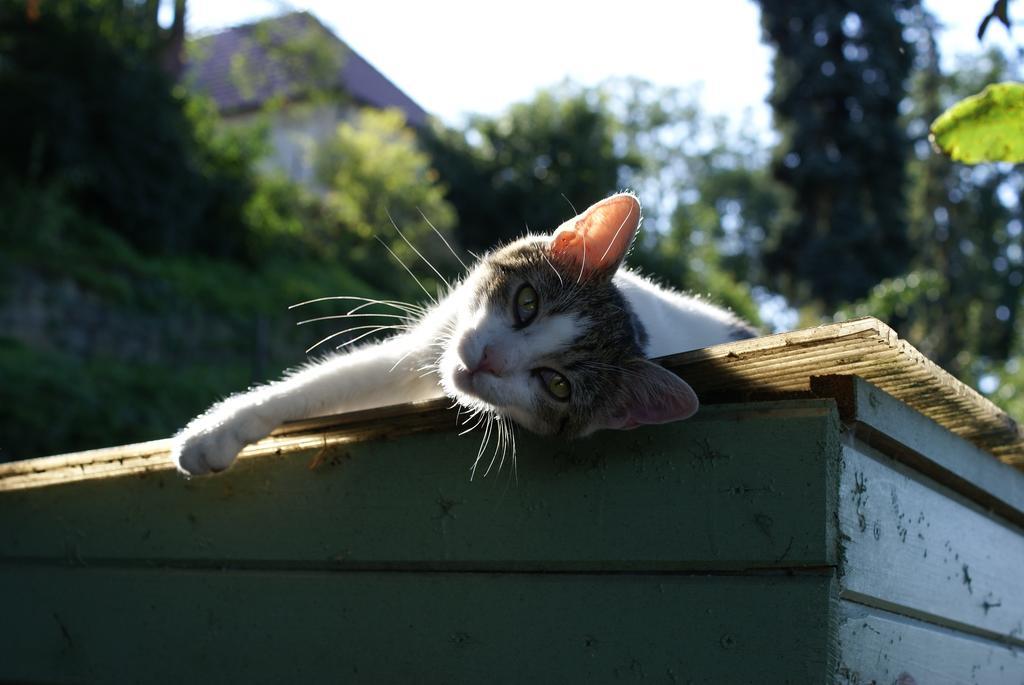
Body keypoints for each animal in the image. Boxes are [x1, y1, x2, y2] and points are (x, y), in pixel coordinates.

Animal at [172, 192, 757, 475]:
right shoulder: (439, 337)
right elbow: (330, 383)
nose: (488, 360)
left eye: (556, 385)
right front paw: (215, 431)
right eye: (526, 303)